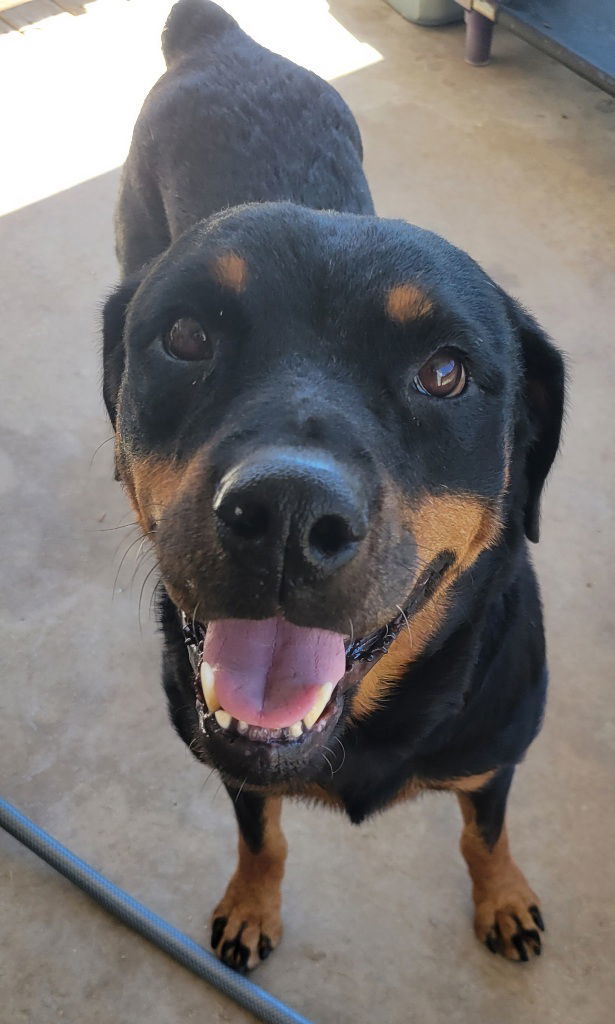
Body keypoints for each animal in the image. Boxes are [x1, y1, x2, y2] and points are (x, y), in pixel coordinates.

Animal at [101, 0, 564, 966]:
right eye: (186, 335)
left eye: (444, 372)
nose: (285, 512)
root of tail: (219, 38)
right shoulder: (233, 761)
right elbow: (261, 836)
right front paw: (251, 903)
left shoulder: (492, 757)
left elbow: (484, 833)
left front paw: (502, 898)